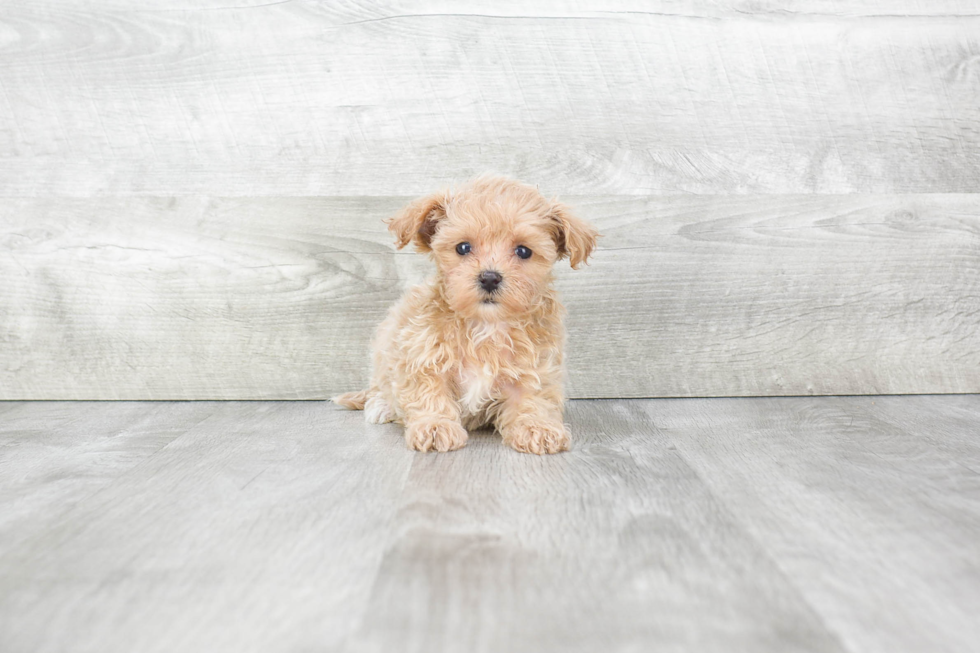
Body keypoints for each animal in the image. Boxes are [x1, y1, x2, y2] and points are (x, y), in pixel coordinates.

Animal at [334, 176, 596, 456]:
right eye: (463, 247)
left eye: (524, 251)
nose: (489, 277)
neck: (486, 324)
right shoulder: (422, 356)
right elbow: (429, 394)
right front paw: (435, 426)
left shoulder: (535, 367)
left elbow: (533, 398)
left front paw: (538, 427)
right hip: (385, 342)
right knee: (379, 384)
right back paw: (381, 405)